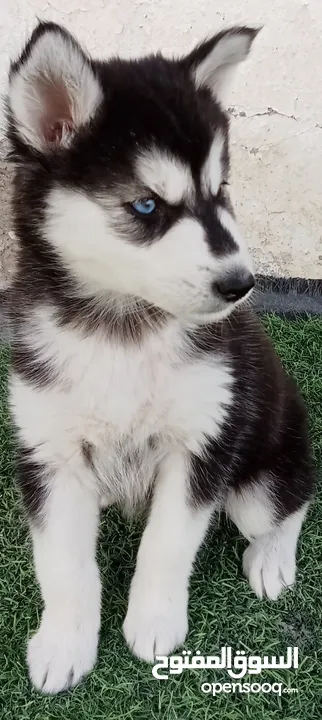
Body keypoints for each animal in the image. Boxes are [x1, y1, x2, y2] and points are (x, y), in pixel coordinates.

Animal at [5, 22, 314, 692]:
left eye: (221, 190)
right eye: (147, 206)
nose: (241, 284)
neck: (123, 328)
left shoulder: (203, 442)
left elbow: (167, 543)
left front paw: (154, 623)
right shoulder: (49, 452)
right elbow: (61, 561)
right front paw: (63, 643)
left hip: (259, 474)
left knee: (291, 502)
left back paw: (272, 560)